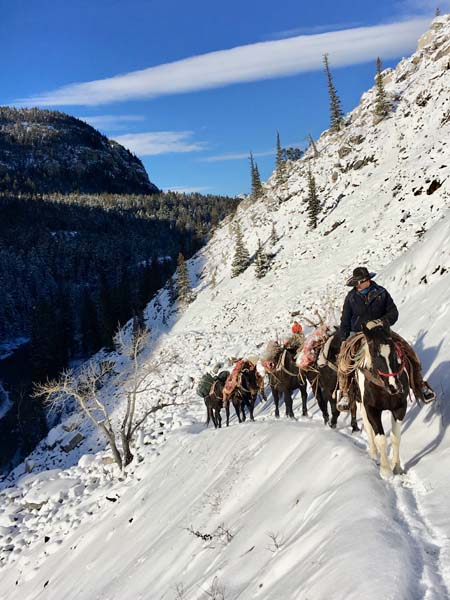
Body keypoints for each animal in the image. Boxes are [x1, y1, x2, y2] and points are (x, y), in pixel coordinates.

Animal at [356, 322, 410, 480]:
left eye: (394, 352)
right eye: (375, 354)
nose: (394, 386)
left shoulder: (400, 408)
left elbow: (395, 437)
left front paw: (397, 467)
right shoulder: (371, 409)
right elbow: (380, 438)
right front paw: (386, 471)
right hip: (361, 405)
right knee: (368, 428)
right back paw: (374, 454)